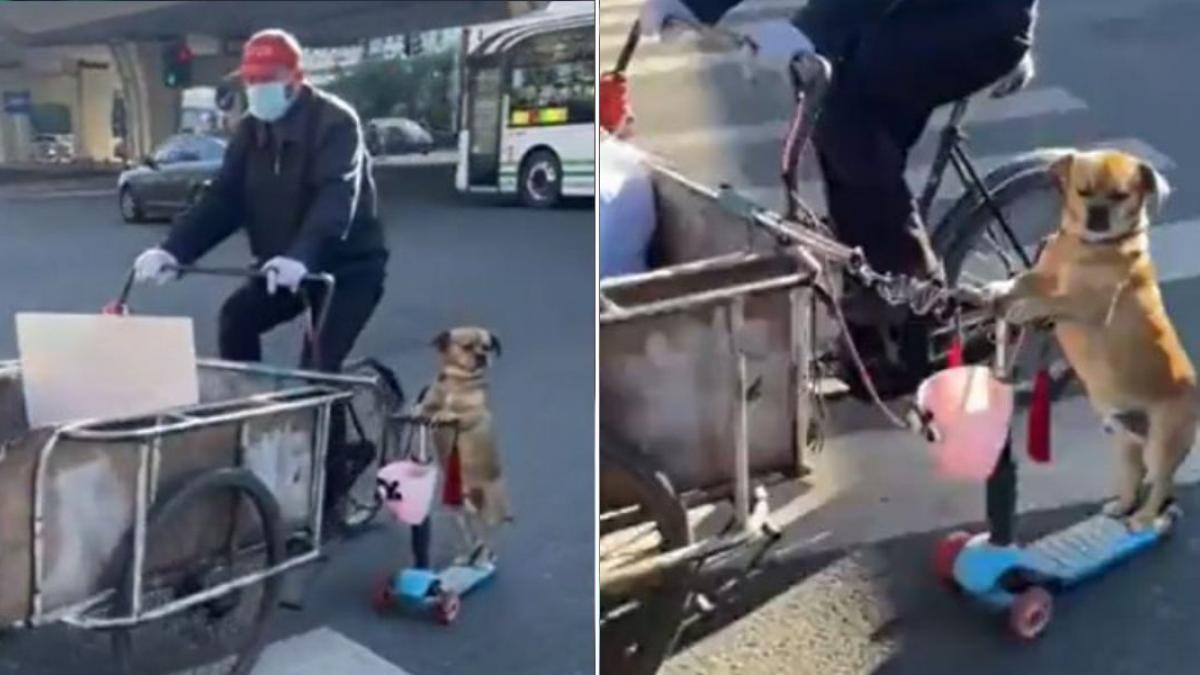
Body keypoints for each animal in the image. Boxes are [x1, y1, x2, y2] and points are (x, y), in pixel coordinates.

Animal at [417, 326, 511, 562]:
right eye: (467, 346)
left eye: (487, 347)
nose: (482, 356)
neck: (457, 381)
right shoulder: (427, 405)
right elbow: (426, 408)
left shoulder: (476, 415)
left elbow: (455, 413)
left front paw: (445, 413)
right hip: (458, 514)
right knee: (471, 536)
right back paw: (468, 555)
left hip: (489, 513)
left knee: (487, 537)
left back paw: (485, 557)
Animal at [988, 148, 1195, 530]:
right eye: (1082, 192)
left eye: (1120, 195)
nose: (1097, 212)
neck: (1083, 247)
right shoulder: (1043, 274)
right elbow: (1023, 281)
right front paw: (999, 289)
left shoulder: (1089, 304)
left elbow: (1055, 300)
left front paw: (1025, 307)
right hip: (1125, 442)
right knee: (1134, 477)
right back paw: (1122, 505)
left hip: (1162, 442)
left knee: (1160, 482)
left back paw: (1145, 517)